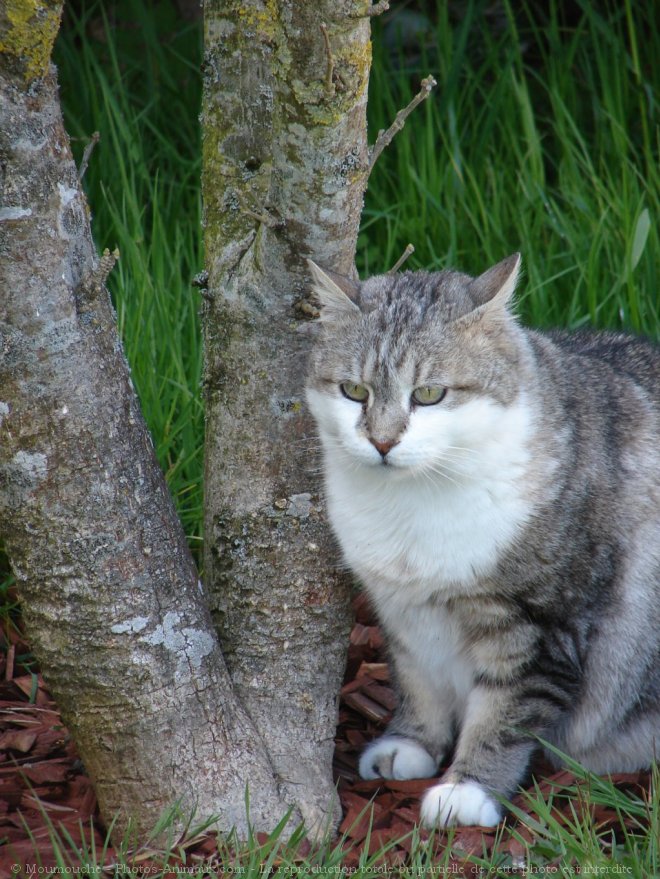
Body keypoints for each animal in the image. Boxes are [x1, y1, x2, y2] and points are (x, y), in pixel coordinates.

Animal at [306, 253, 660, 824]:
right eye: (353, 391)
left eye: (429, 394)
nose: (381, 441)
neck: (415, 502)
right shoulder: (403, 612)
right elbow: (419, 682)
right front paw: (412, 744)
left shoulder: (541, 627)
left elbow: (503, 715)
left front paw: (468, 790)